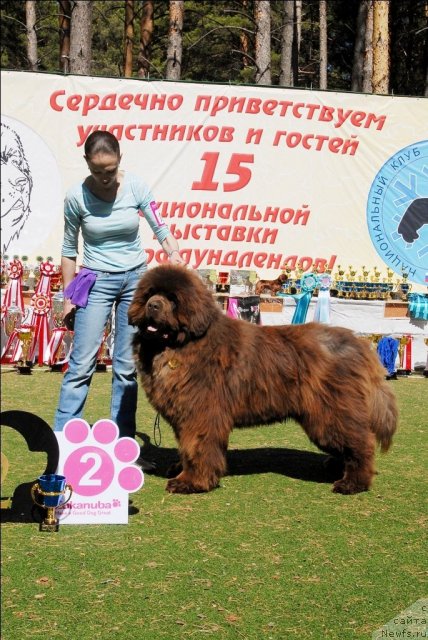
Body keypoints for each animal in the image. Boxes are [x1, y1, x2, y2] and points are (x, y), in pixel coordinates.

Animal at [128, 264, 398, 496]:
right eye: (150, 294)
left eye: (172, 299)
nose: (152, 305)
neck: (179, 344)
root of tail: (358, 344)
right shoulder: (185, 415)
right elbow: (186, 447)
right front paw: (181, 469)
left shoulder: (200, 414)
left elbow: (197, 447)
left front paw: (191, 482)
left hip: (330, 412)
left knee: (361, 443)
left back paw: (353, 482)